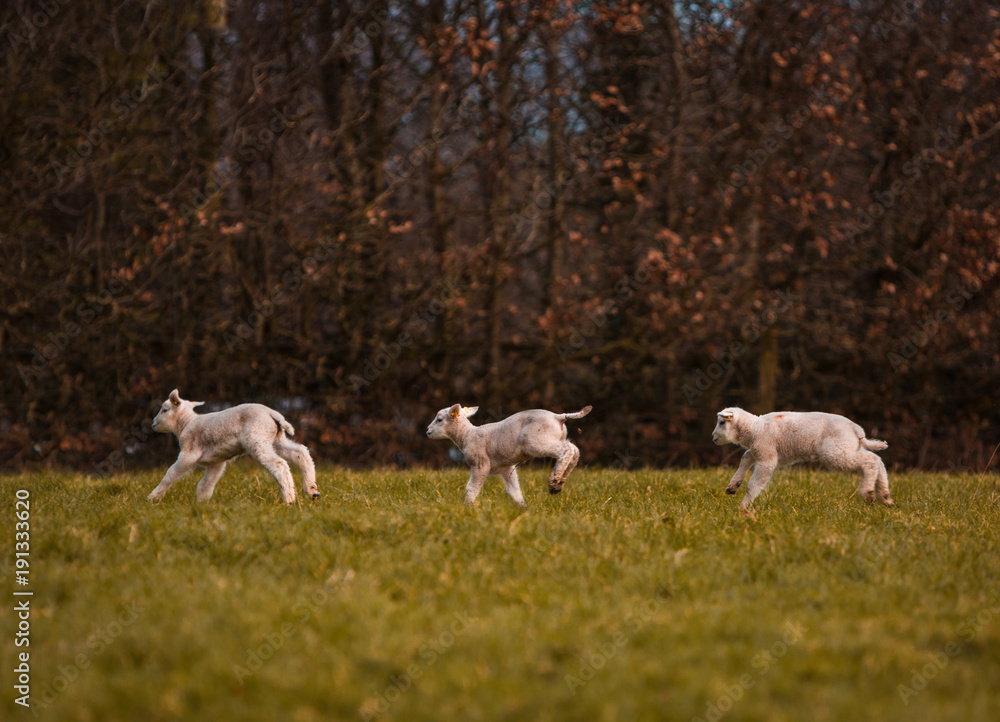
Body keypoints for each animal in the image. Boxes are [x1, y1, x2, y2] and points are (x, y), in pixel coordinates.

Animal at [147, 389, 319, 504]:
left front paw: (153, 497)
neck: (186, 423)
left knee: (280, 465)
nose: (153, 423)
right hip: (275, 439)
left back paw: (289, 499)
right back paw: (312, 490)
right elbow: (205, 484)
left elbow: (170, 474)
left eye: (164, 410)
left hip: (257, 440)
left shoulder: (188, 453)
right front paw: (201, 505)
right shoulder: (216, 462)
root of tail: (272, 414)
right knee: (301, 453)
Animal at [425, 404, 592, 507]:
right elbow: (514, 491)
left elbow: (472, 488)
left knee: (567, 451)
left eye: (439, 420)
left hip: (536, 442)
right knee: (574, 450)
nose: (427, 431)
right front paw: (524, 508)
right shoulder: (507, 469)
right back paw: (560, 482)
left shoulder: (480, 464)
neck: (467, 435)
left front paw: (467, 506)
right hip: (553, 439)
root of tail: (559, 416)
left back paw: (554, 481)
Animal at [712, 407, 892, 513]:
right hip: (848, 446)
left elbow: (753, 485)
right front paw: (732, 486)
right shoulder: (758, 451)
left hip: (836, 452)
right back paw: (885, 496)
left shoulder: (766, 458)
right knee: (877, 459)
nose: (713, 438)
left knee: (870, 461)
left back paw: (868, 493)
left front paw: (742, 508)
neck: (754, 428)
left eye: (721, 422)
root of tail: (856, 429)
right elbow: (745, 457)